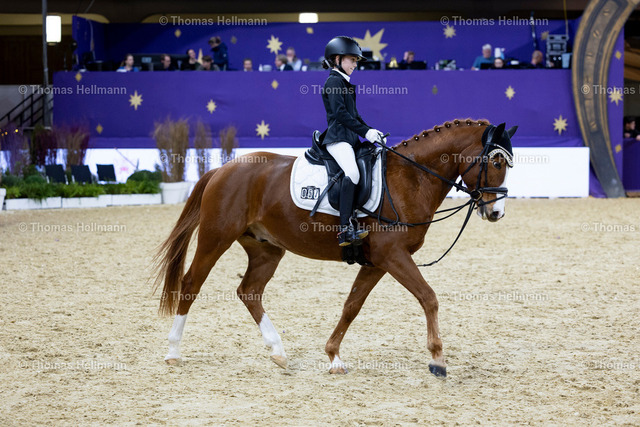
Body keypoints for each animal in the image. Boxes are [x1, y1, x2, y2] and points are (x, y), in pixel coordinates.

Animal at [153, 119, 516, 378]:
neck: (410, 179)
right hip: (216, 238)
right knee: (191, 284)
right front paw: (438, 359)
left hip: (266, 249)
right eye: (497, 162)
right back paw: (172, 353)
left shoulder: (376, 262)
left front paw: (333, 356)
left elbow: (351, 306)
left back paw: (278, 352)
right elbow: (429, 297)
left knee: (249, 291)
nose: (497, 213)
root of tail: (221, 168)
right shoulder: (392, 255)